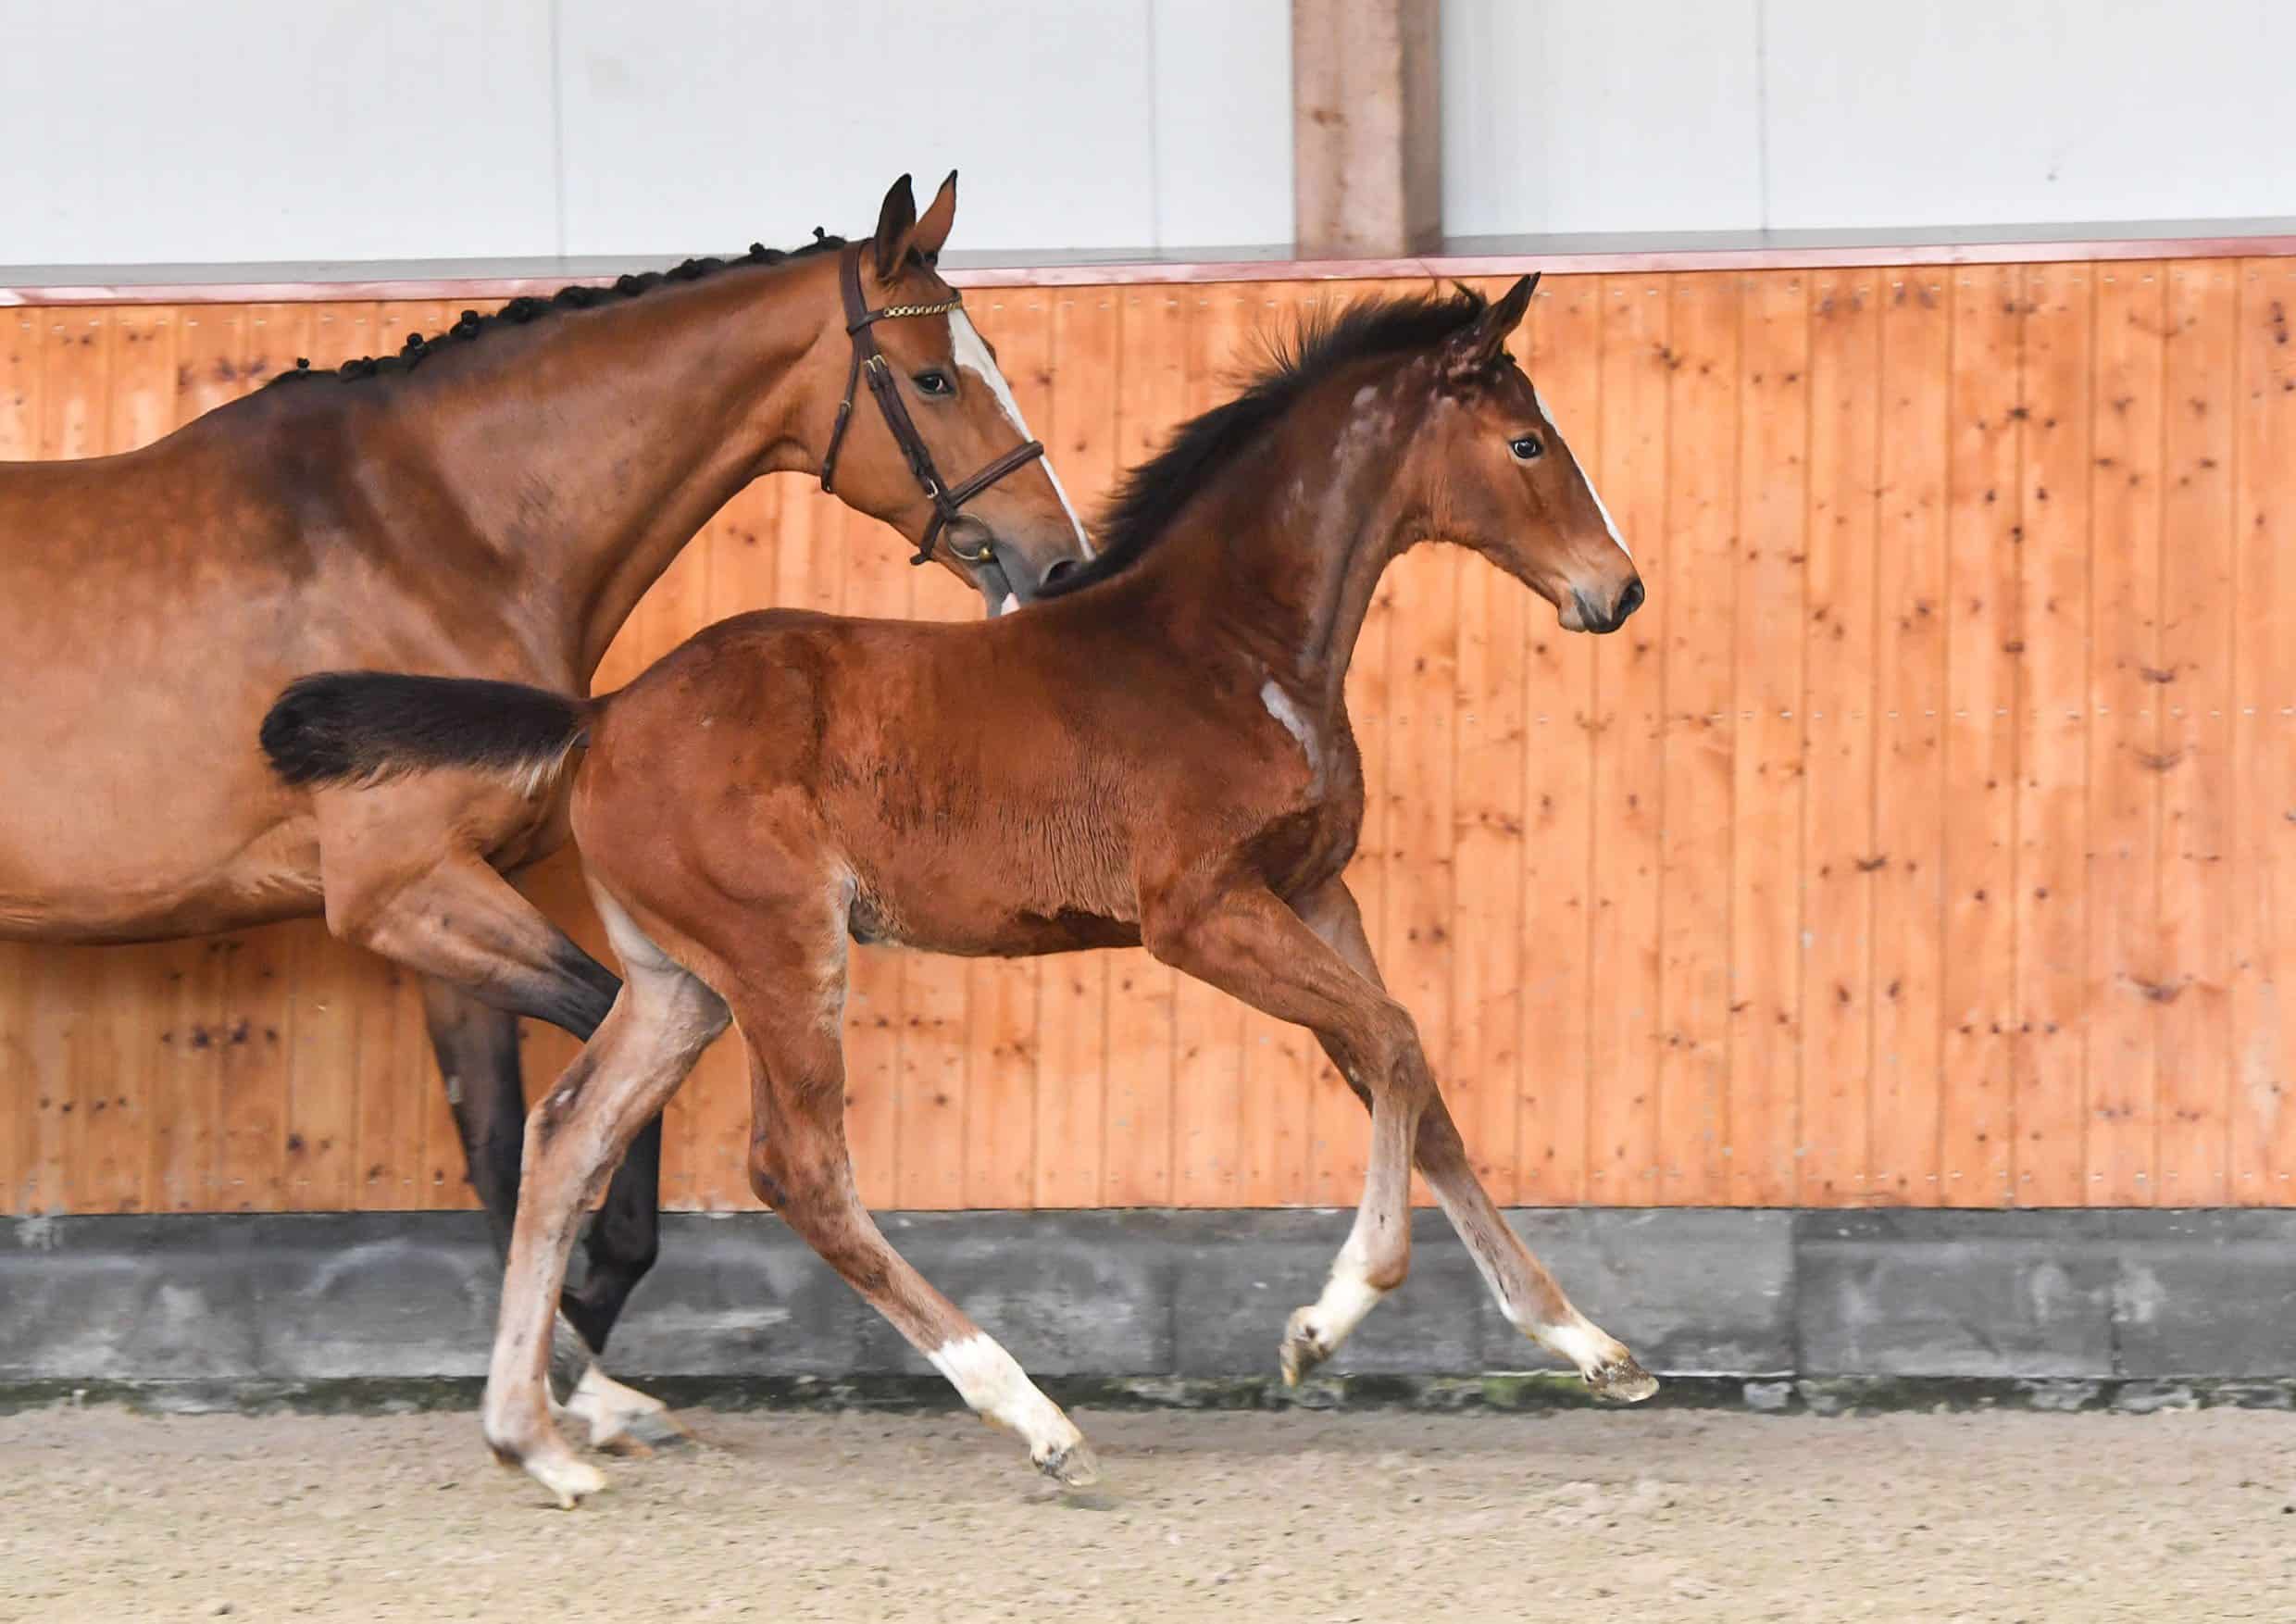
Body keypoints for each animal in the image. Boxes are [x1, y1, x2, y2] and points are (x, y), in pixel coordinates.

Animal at [268, 273, 1653, 1506]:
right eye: (1527, 441)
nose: (1618, 588)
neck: (1227, 648)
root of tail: (599, 715)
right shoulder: (1201, 912)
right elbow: (1397, 1039)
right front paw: (1326, 1316)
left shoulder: (1315, 894)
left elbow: (1412, 1084)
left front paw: (1587, 1344)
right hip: (780, 949)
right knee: (797, 1166)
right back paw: (1034, 1417)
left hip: (679, 983)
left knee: (565, 1140)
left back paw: (537, 1441)